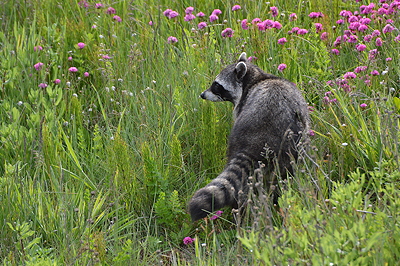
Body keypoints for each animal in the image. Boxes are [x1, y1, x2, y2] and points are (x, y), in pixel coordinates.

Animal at [189, 51, 310, 220]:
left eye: (216, 85)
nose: (202, 95)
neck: (257, 78)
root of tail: (258, 139)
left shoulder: (242, 104)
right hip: (289, 148)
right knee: (283, 177)